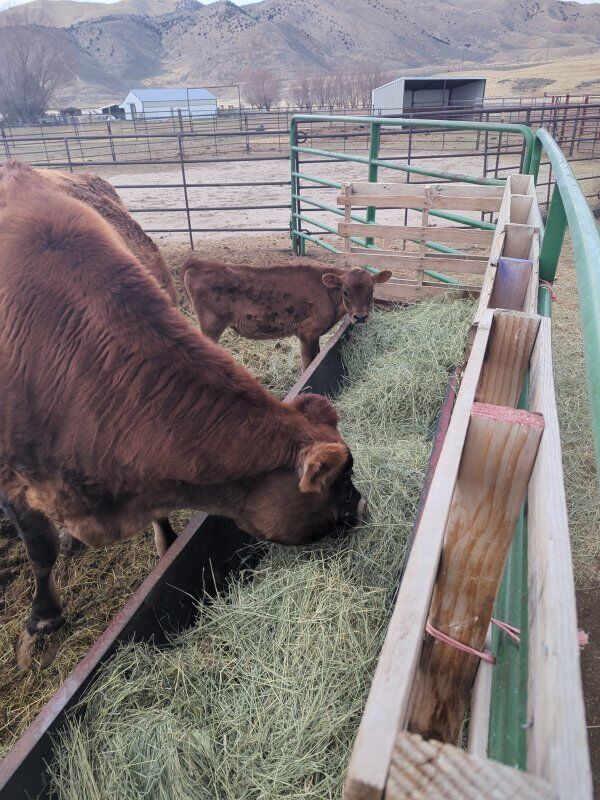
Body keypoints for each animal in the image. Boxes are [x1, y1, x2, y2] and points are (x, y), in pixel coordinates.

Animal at [179, 258, 393, 370]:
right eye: (346, 292)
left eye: (372, 291)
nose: (360, 317)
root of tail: (198, 263)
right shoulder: (308, 333)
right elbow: (309, 363)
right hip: (211, 325)